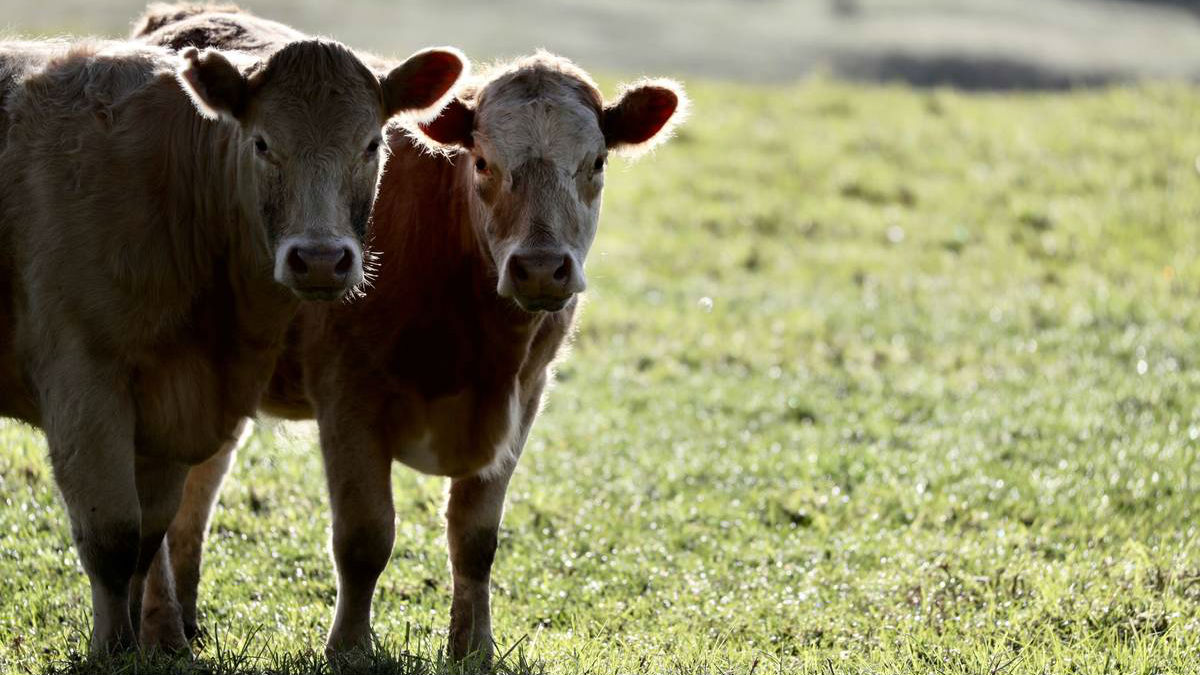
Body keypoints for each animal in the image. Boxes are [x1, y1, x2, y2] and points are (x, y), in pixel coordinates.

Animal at [0, 32, 466, 654]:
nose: (321, 259)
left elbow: (150, 536)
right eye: (263, 142)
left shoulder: (174, 404)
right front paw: (111, 650)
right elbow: (112, 536)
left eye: (371, 144)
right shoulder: (82, 377)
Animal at [134, 4, 687, 665]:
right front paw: (349, 649)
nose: (539, 268)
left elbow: (476, 538)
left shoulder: (524, 397)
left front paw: (473, 649)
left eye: (596, 163)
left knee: (197, 488)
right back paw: (162, 631)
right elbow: (365, 538)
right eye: (483, 162)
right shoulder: (348, 395)